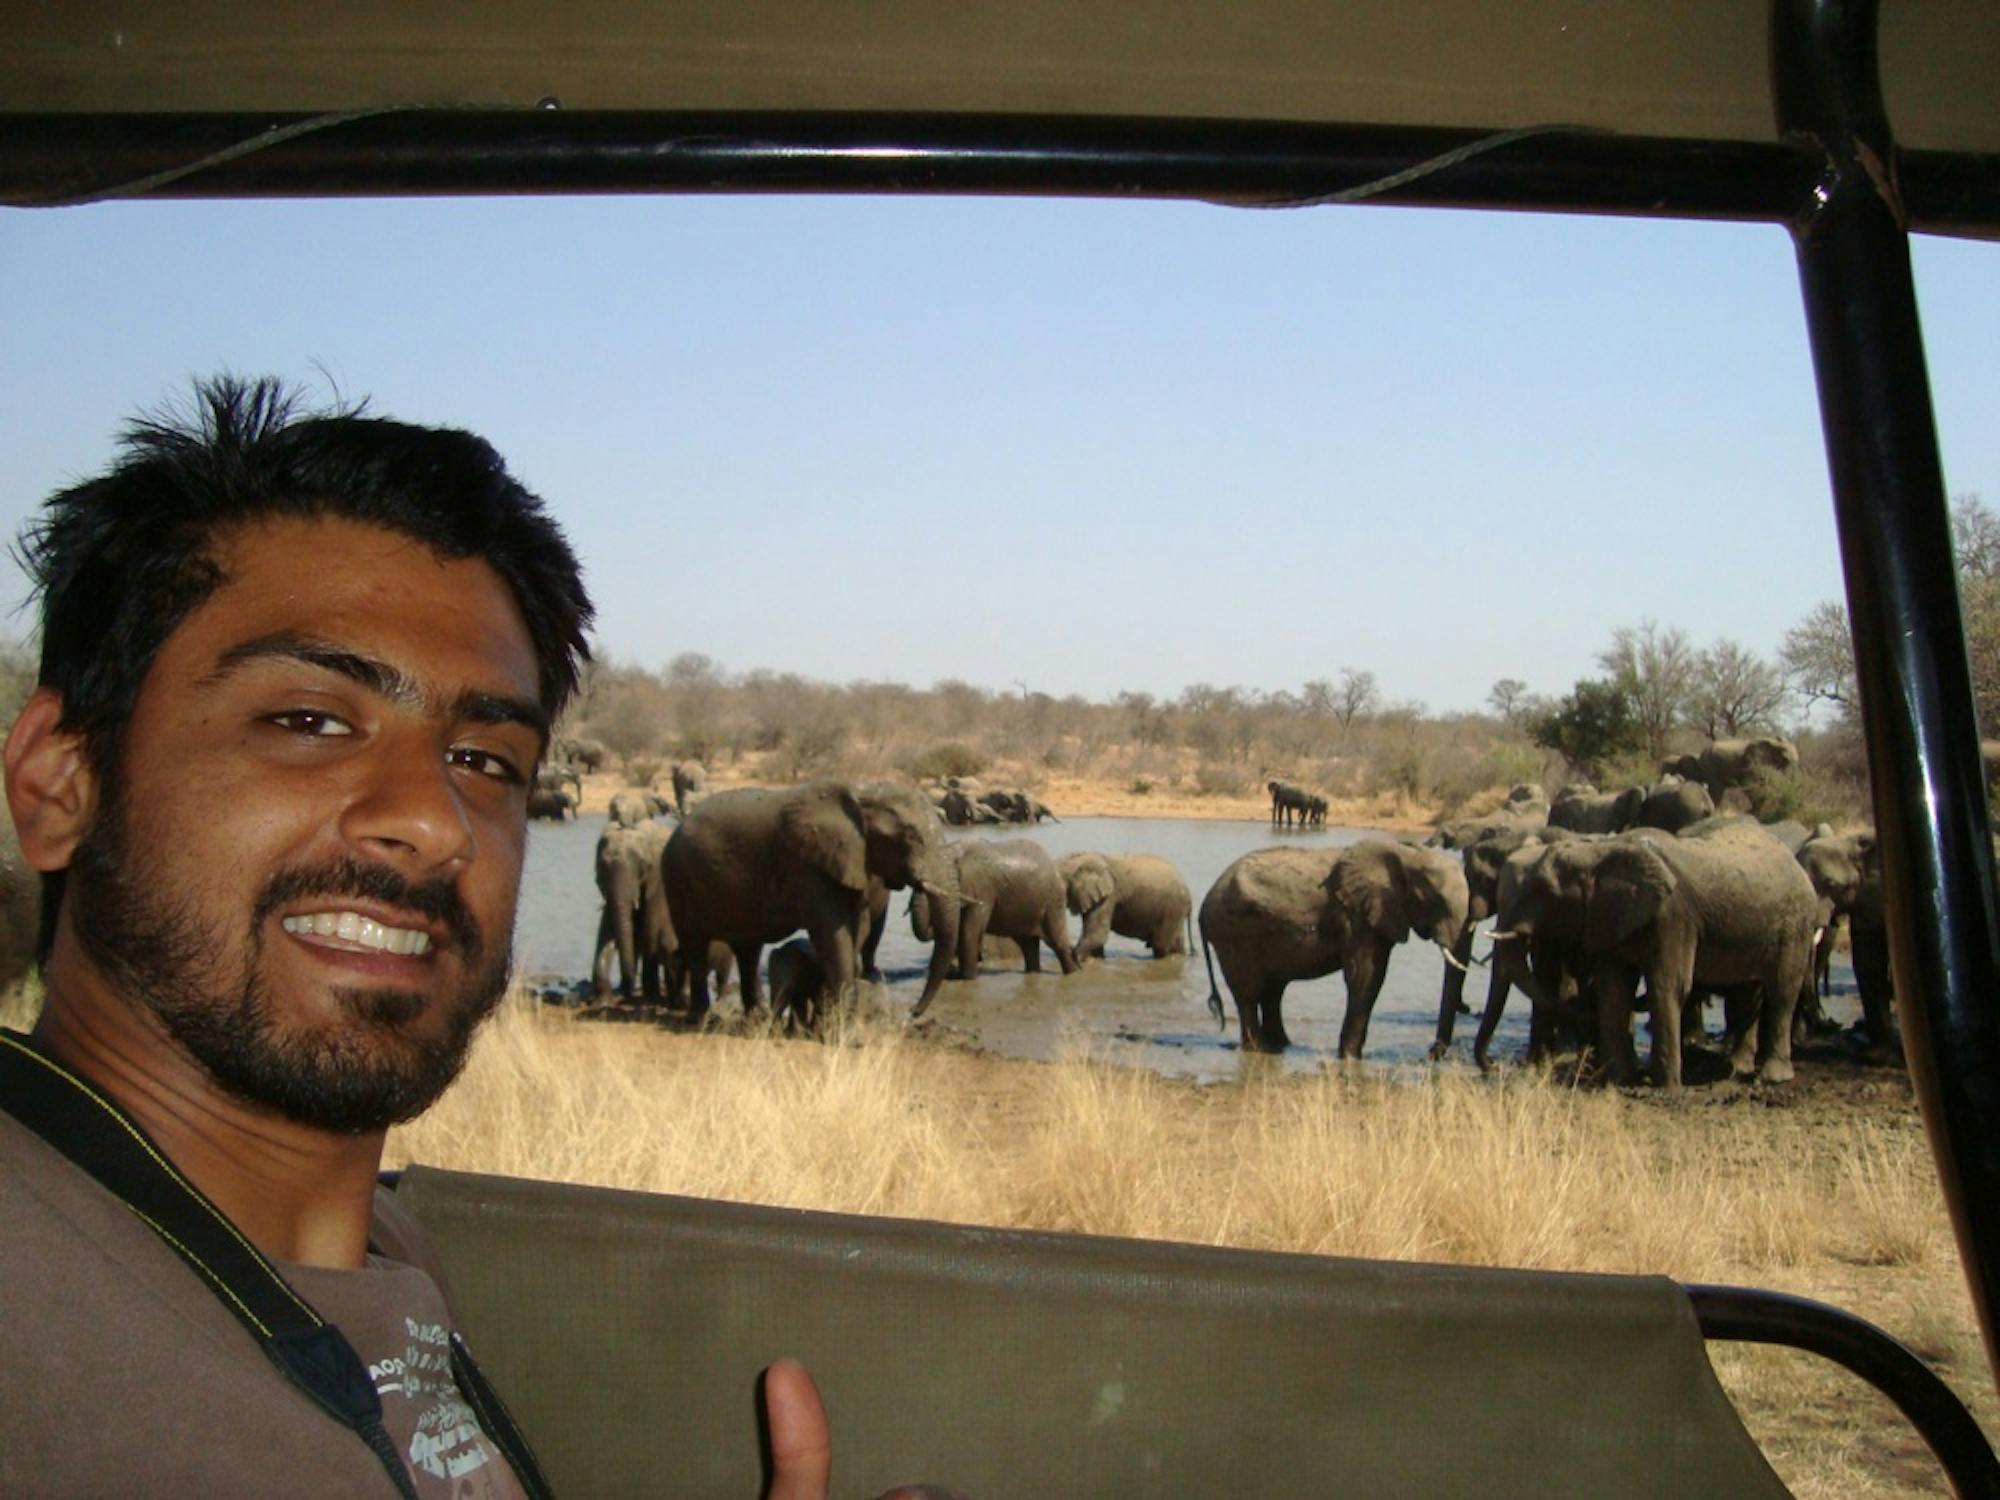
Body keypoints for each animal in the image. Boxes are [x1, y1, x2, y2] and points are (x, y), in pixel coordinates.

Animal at [664, 788, 960, 1024]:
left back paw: (757, 1017)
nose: (912, 1013)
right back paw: (700, 1019)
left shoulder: (852, 865)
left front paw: (827, 1022)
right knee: (695, 945)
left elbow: (856, 929)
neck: (862, 797)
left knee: (748, 949)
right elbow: (832, 933)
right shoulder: (808, 868)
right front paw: (842, 1030)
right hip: (678, 878)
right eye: (911, 837)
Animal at [916, 840, 1080, 1004]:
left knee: (1057, 942)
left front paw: (965, 978)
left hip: (1053, 902)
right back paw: (1034, 973)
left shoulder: (981, 889)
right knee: (1028, 945)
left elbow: (969, 931)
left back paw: (1073, 973)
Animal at [1192, 848, 1480, 1056]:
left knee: (1273, 991)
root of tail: (1203, 906)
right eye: (1436, 902)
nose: (1431, 1052)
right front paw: (1350, 1057)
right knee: (1249, 993)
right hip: (1232, 934)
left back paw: (1281, 1046)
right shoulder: (1356, 918)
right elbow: (1366, 976)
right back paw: (1259, 1049)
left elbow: (1373, 976)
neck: (1407, 855)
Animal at [1504, 824, 1816, 1096]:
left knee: (1782, 991)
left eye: (1544, 890)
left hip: (1794, 925)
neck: (1600, 852)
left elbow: (1667, 986)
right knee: (1747, 993)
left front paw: (1665, 1089)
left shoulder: (1673, 916)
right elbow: (1614, 989)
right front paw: (1619, 1081)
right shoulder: (1612, 917)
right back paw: (1736, 1068)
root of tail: (1795, 862)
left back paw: (1772, 1077)